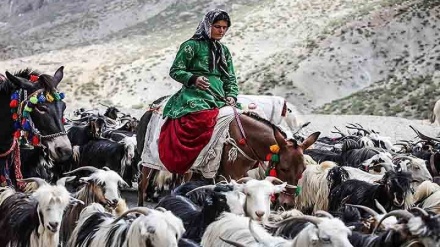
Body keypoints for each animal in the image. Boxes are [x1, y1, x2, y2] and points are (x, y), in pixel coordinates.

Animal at [136, 104, 318, 206]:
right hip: (148, 160)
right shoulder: (229, 175)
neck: (245, 138)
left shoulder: (240, 175)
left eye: (303, 170)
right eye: (284, 168)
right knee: (142, 183)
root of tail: (151, 110)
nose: (288, 204)